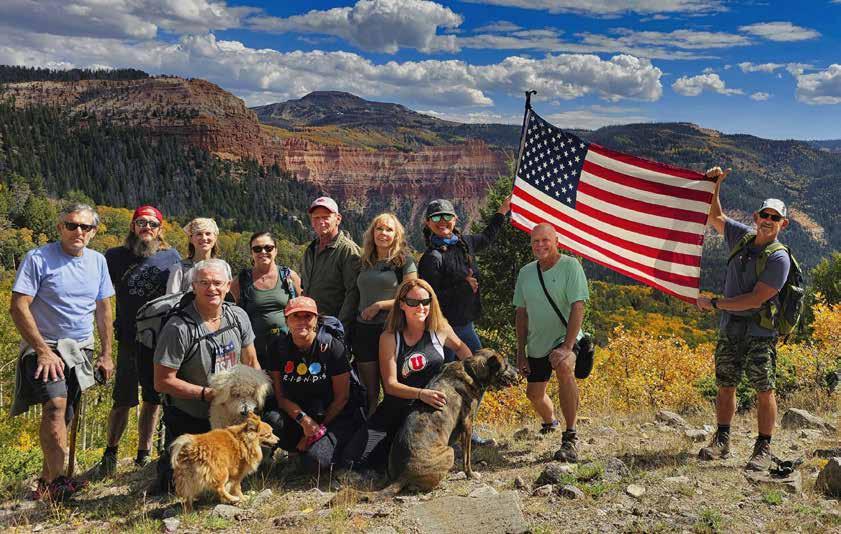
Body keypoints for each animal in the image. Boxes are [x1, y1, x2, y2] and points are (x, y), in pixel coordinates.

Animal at [383, 349, 519, 494]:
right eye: (506, 365)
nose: (518, 370)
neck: (472, 371)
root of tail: (401, 477)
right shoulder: (467, 425)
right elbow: (467, 457)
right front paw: (470, 474)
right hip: (449, 451)